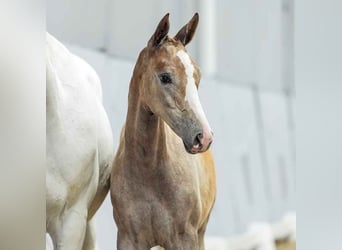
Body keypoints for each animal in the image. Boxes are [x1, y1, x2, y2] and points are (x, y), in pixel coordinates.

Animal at [111, 13, 215, 250]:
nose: (203, 137)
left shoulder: (185, 238)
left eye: (197, 77)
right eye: (165, 77)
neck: (148, 171)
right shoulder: (128, 239)